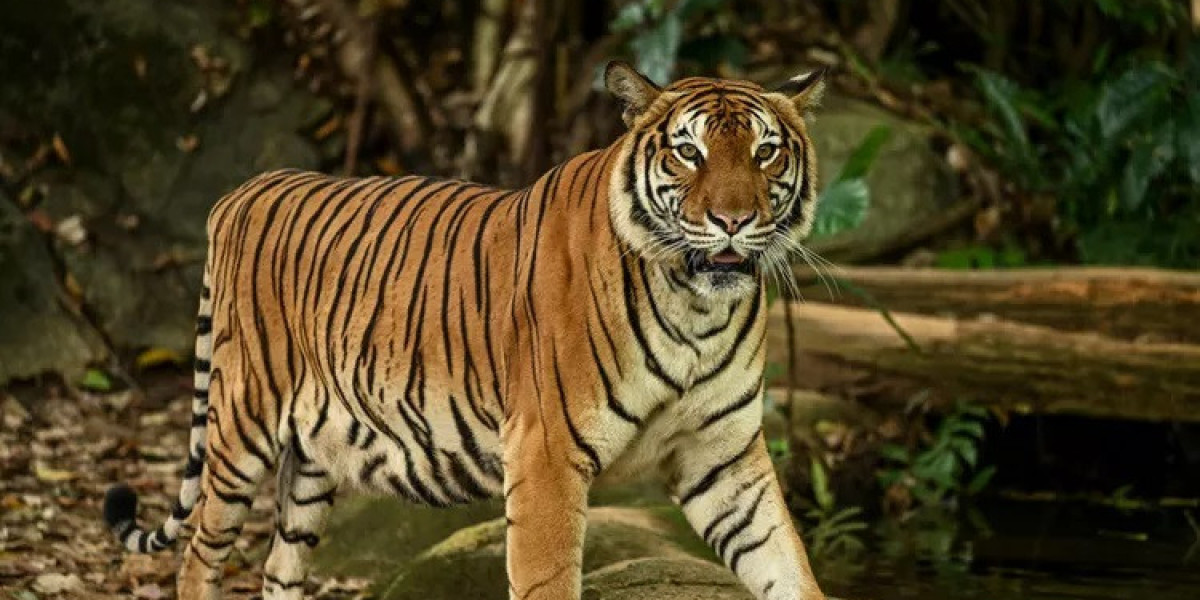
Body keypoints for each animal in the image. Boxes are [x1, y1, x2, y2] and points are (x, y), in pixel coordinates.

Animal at [103, 61, 829, 600]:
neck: (697, 311)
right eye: (687, 152)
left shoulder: (724, 460)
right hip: (242, 424)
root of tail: (243, 191)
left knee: (279, 568)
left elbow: (787, 565)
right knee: (198, 556)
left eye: (765, 152)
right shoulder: (545, 454)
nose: (733, 221)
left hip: (314, 455)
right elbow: (546, 580)